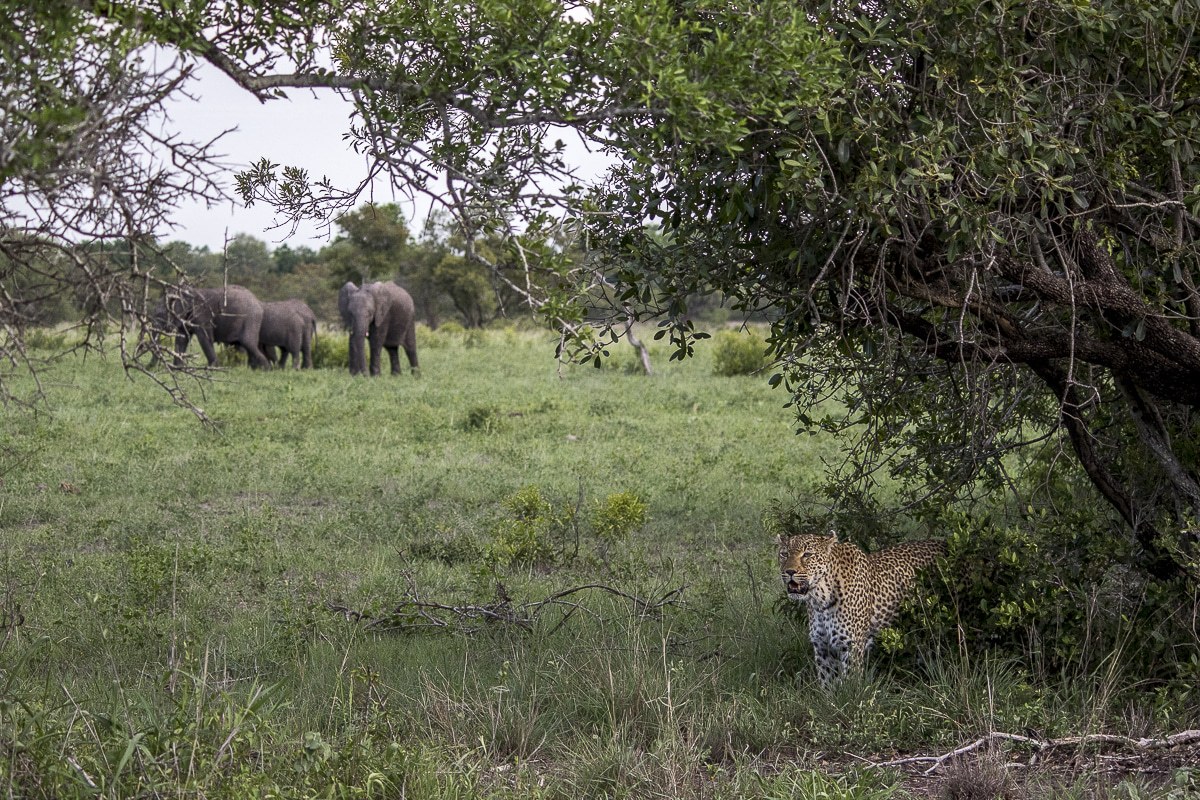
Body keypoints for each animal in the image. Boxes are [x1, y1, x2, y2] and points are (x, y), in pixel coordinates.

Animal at [777, 530, 945, 687]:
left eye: (808, 554)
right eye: (784, 554)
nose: (789, 572)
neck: (820, 599)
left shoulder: (852, 646)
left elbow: (850, 685)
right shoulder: (822, 646)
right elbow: (827, 684)